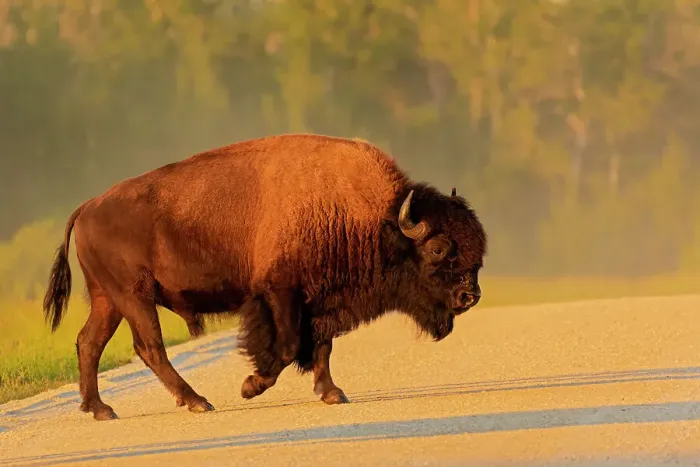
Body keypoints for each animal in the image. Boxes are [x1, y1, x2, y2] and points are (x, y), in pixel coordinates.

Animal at [43, 133, 487, 421]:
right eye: (438, 249)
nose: (470, 297)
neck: (375, 218)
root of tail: (88, 206)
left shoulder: (318, 300)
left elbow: (322, 347)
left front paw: (332, 393)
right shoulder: (281, 293)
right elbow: (288, 346)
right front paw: (251, 385)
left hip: (109, 299)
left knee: (90, 343)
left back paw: (100, 409)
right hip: (133, 296)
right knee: (148, 346)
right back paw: (197, 401)